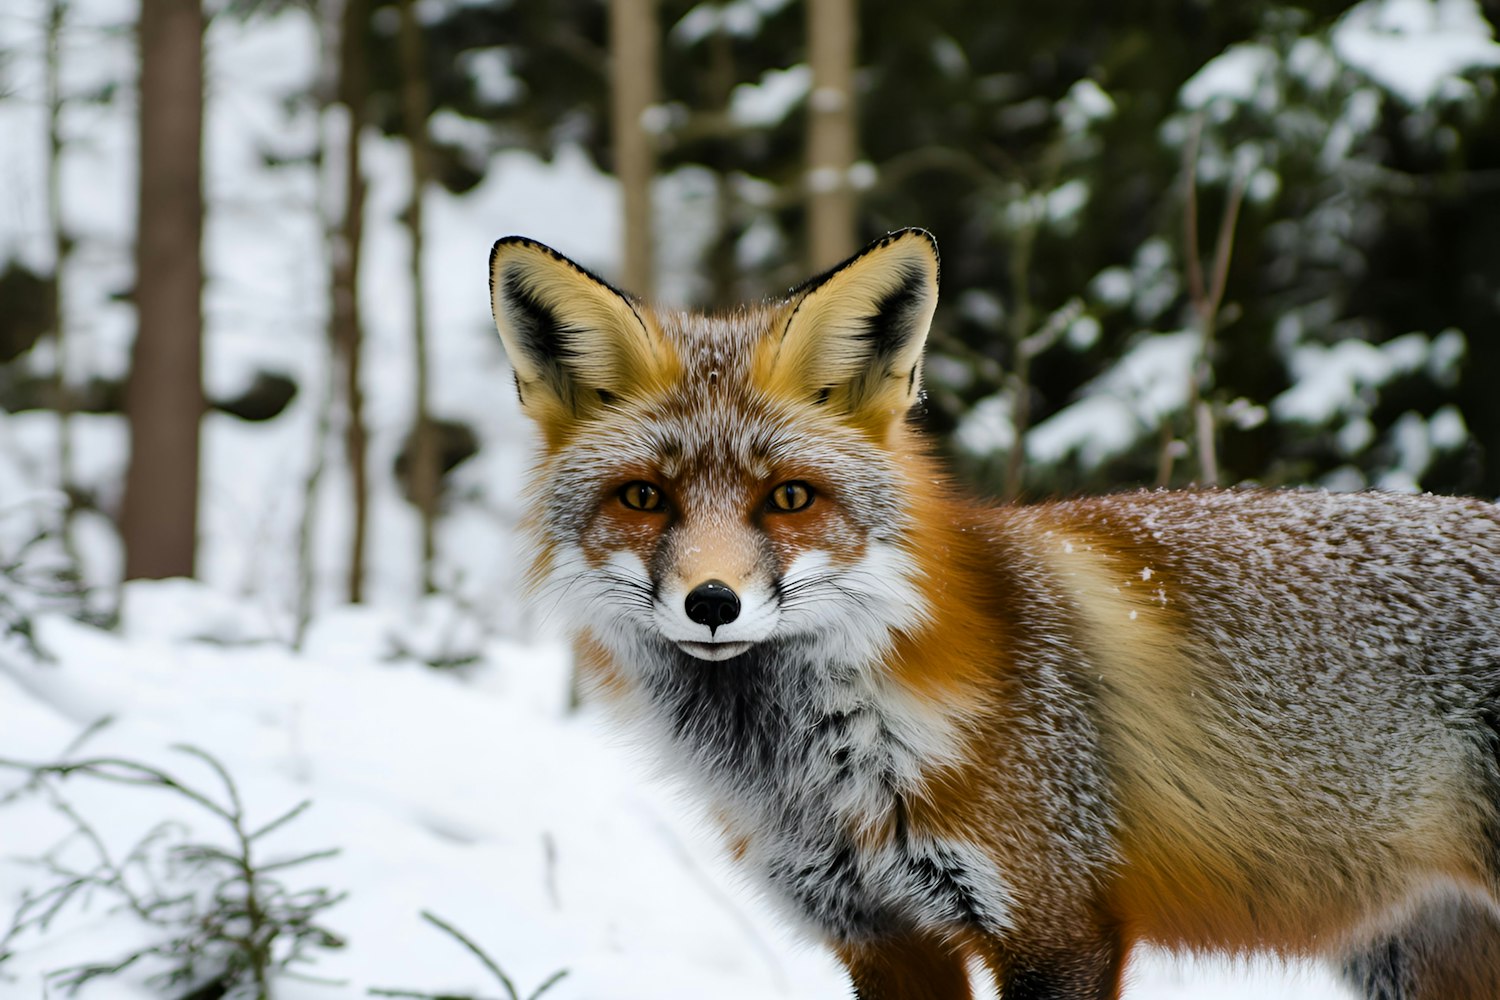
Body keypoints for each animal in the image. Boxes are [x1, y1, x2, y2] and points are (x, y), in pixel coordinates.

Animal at [489, 229, 1500, 1000]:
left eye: (789, 498)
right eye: (645, 498)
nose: (711, 603)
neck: (830, 768)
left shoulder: (1058, 927)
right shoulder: (883, 938)